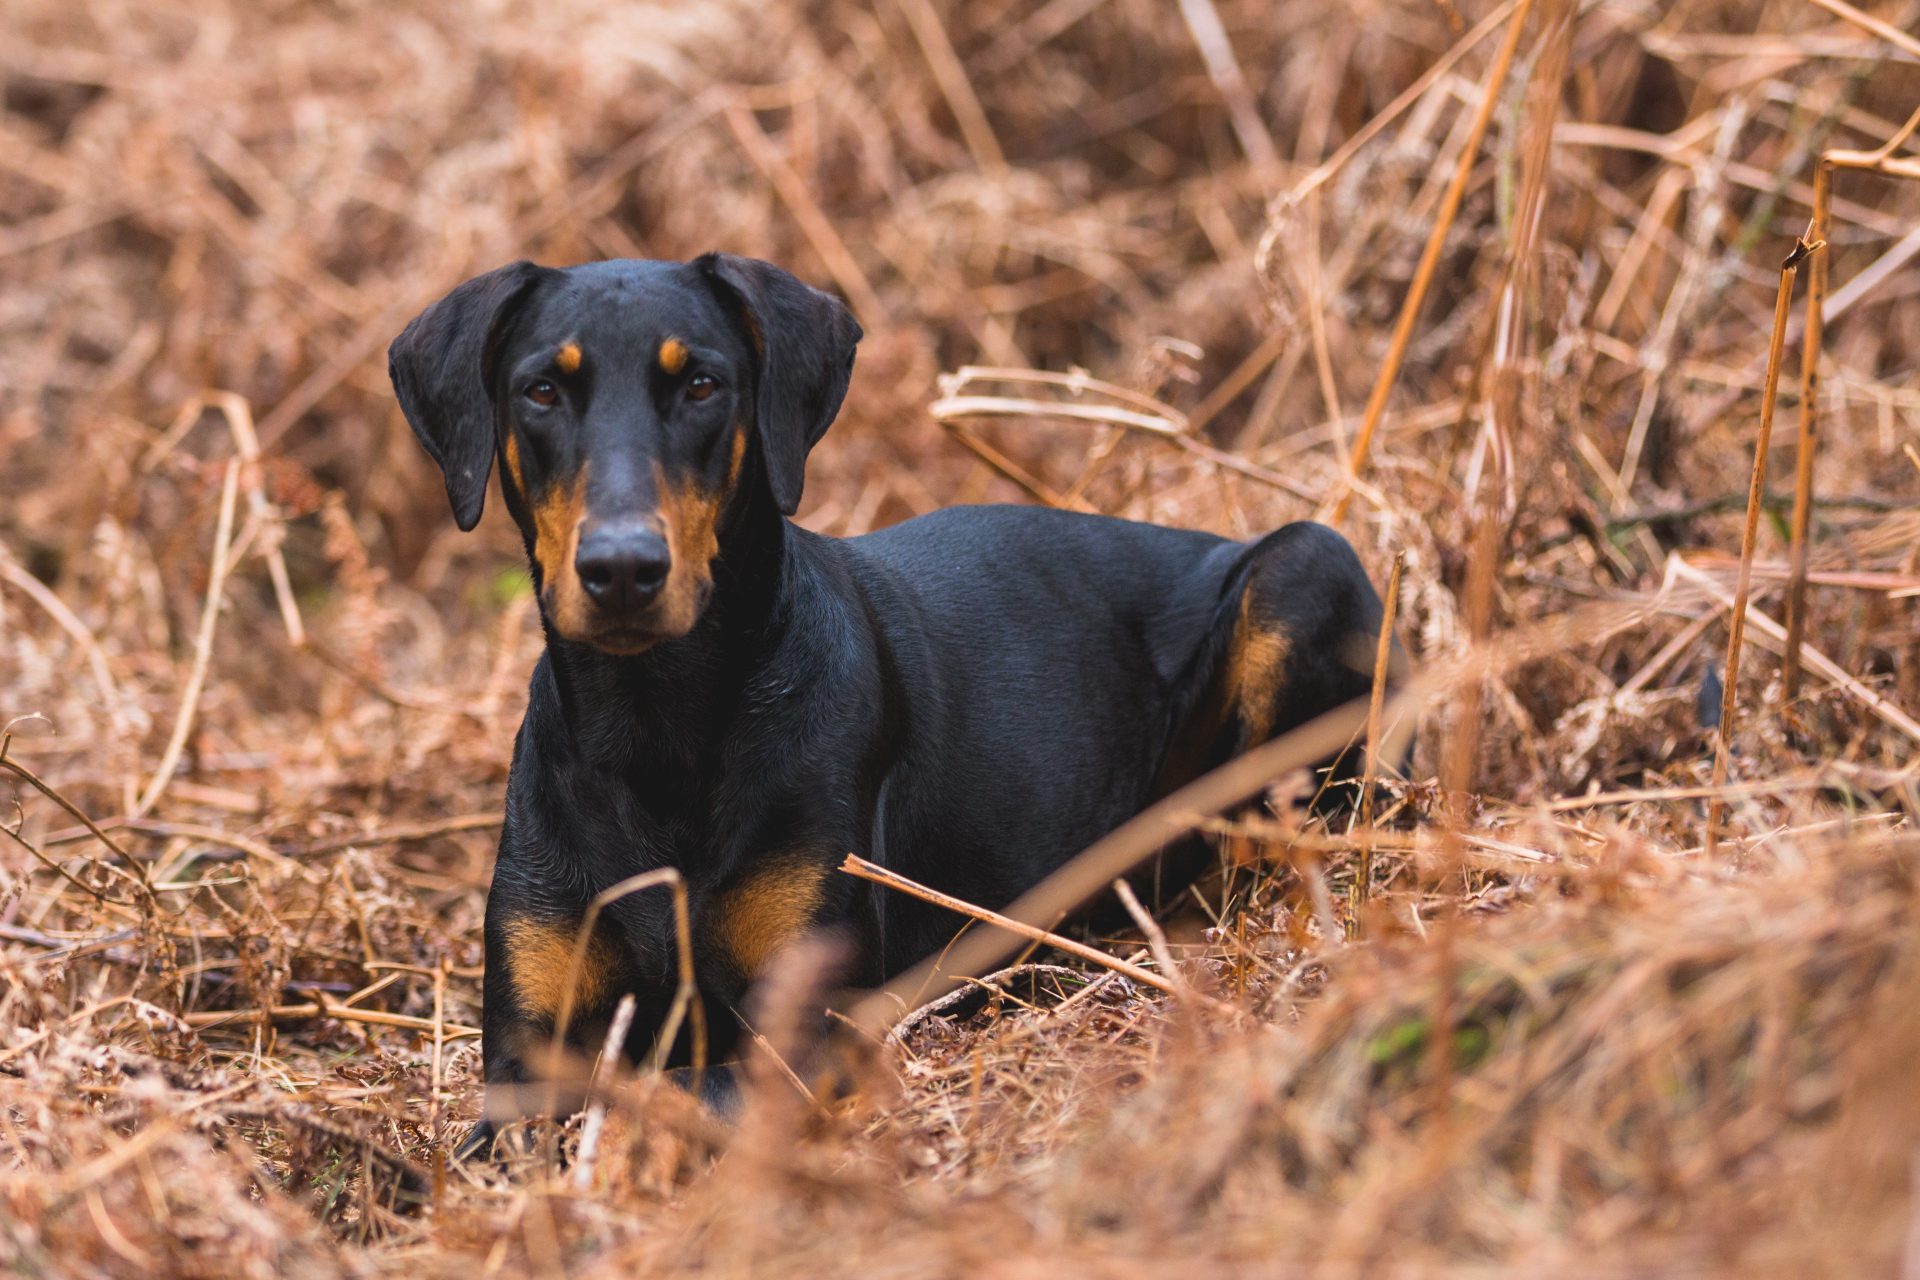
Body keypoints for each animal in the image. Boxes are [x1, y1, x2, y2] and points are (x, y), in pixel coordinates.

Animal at [382, 255, 1390, 1159]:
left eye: (703, 384)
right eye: (542, 390)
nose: (623, 569)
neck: (655, 724)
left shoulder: (805, 1022)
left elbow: (682, 1091)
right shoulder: (525, 1049)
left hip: (1303, 566)